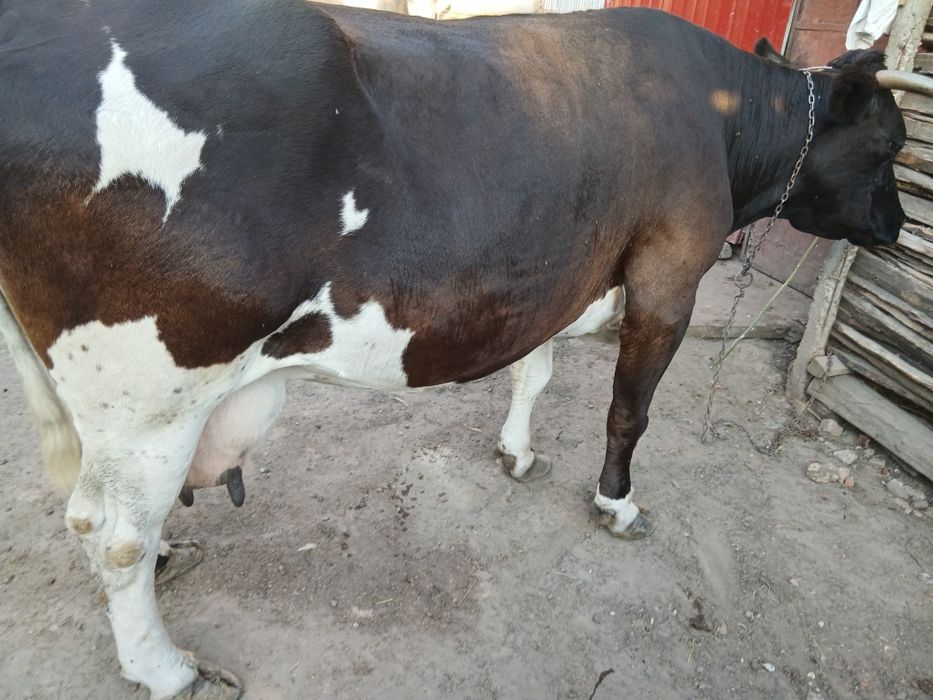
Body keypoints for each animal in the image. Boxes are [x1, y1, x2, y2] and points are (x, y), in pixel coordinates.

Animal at [1, 1, 929, 697]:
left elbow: (535, 373)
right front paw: (617, 503)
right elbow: (628, 411)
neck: (722, 120)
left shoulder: (555, 275)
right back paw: (163, 666)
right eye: (891, 145)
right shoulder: (669, 276)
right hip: (148, 393)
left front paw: (516, 451)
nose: (897, 227)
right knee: (112, 531)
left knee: (110, 521)